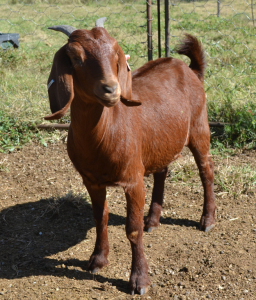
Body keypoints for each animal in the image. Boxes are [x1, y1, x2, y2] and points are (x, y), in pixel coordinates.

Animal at [44, 21, 216, 296]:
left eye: (116, 56)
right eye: (76, 58)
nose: (111, 89)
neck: (105, 133)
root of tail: (190, 69)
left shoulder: (133, 180)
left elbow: (132, 230)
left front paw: (139, 280)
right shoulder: (91, 181)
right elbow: (100, 217)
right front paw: (97, 260)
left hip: (200, 128)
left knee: (206, 169)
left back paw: (207, 220)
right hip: (160, 143)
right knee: (162, 172)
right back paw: (153, 220)